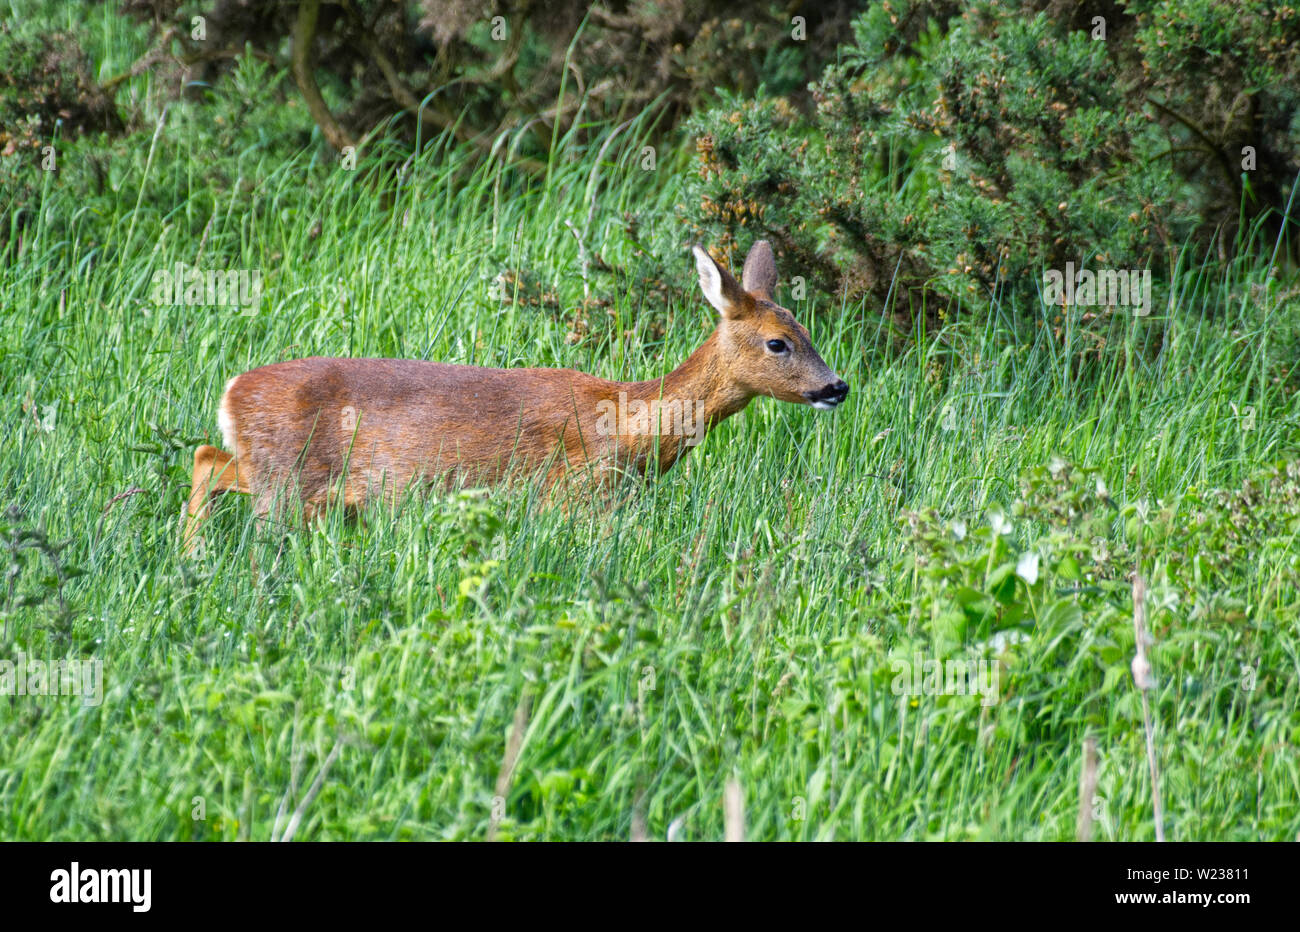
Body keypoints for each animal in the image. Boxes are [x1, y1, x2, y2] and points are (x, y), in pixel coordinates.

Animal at [181, 241, 848, 554]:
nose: (837, 386)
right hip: (287, 482)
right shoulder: (577, 496)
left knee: (206, 458)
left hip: (276, 474)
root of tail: (232, 389)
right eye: (778, 343)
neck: (628, 424)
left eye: (807, 330)